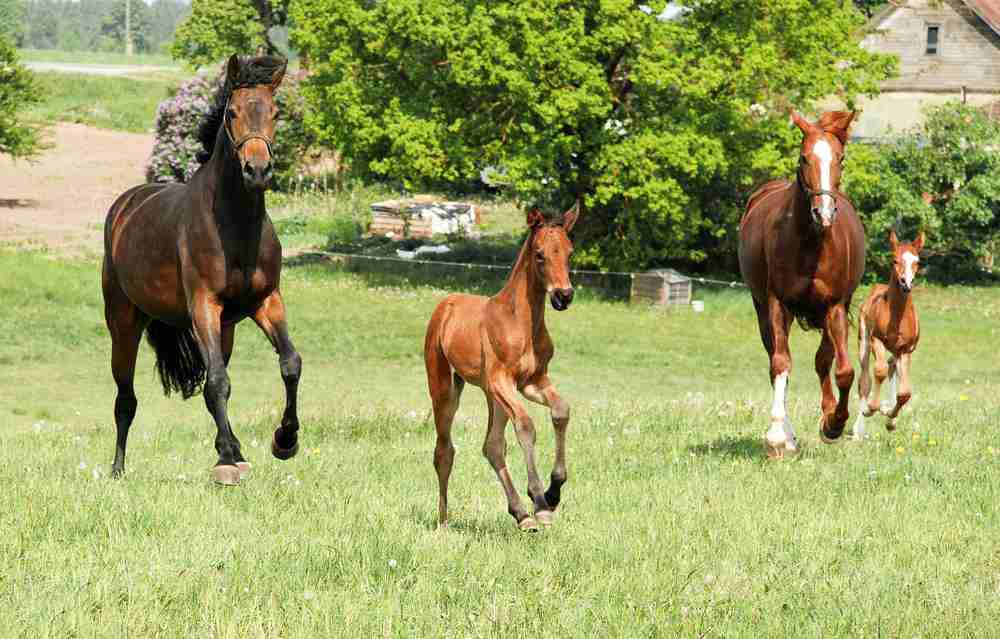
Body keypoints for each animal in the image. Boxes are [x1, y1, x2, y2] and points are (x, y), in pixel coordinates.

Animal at [101, 55, 302, 485]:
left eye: (276, 112)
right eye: (231, 112)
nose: (257, 170)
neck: (235, 227)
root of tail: (125, 207)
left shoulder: (266, 302)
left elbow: (289, 364)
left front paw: (285, 441)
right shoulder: (203, 307)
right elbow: (217, 383)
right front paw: (225, 461)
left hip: (225, 329)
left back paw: (238, 450)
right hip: (123, 323)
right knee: (126, 398)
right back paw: (118, 469)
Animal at [423, 204, 579, 531]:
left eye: (569, 252)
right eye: (539, 254)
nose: (564, 296)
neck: (520, 321)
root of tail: (446, 304)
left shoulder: (533, 381)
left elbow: (561, 411)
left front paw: (552, 492)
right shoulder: (502, 381)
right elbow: (527, 426)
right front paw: (540, 502)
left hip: (491, 395)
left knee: (492, 446)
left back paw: (520, 513)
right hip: (445, 388)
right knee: (444, 450)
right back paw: (443, 521)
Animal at [738, 111, 866, 459]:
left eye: (840, 158)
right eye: (804, 158)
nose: (823, 213)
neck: (811, 242)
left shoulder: (835, 306)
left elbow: (842, 370)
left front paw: (833, 424)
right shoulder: (776, 304)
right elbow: (781, 364)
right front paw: (777, 436)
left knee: (824, 360)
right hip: (762, 310)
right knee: (776, 361)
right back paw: (788, 435)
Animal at [853, 231, 925, 440]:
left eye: (917, 261)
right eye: (894, 260)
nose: (906, 284)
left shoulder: (906, 350)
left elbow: (905, 393)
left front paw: (890, 419)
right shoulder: (876, 339)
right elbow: (879, 371)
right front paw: (872, 408)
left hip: (895, 351)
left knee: (892, 367)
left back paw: (889, 413)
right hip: (864, 342)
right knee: (865, 380)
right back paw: (859, 429)